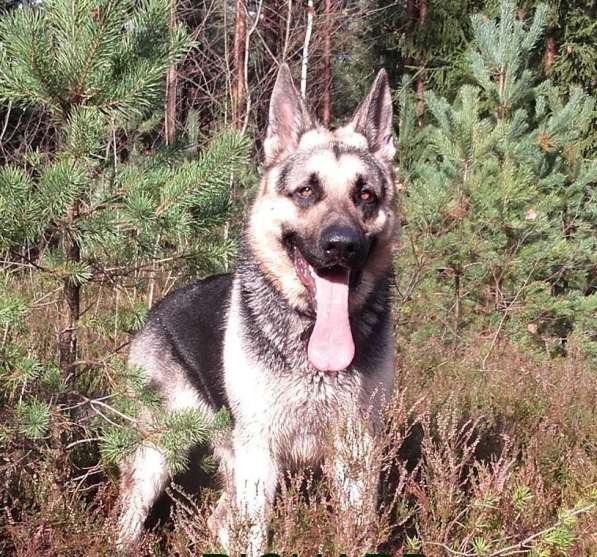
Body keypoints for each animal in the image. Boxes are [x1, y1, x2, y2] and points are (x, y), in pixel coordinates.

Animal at [116, 65, 398, 552]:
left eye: (365, 195)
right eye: (306, 191)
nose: (341, 246)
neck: (309, 334)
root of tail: (159, 308)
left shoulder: (356, 455)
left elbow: (357, 534)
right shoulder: (262, 457)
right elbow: (254, 538)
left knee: (220, 522)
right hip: (158, 456)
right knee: (130, 520)